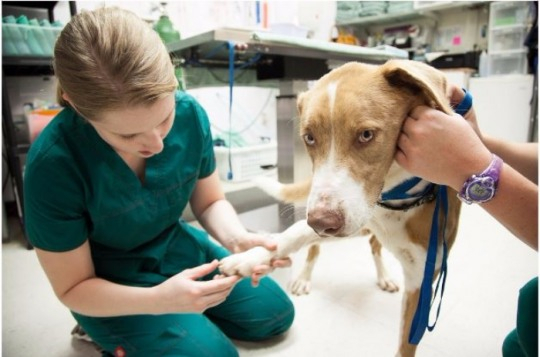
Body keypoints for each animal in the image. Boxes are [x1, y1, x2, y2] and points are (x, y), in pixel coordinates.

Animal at [217, 59, 462, 354]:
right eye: (309, 138)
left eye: (366, 135)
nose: (322, 223)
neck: (393, 198)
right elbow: (293, 233)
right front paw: (251, 256)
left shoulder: (422, 278)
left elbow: (406, 345)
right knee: (317, 247)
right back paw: (304, 277)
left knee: (372, 245)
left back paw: (383, 275)